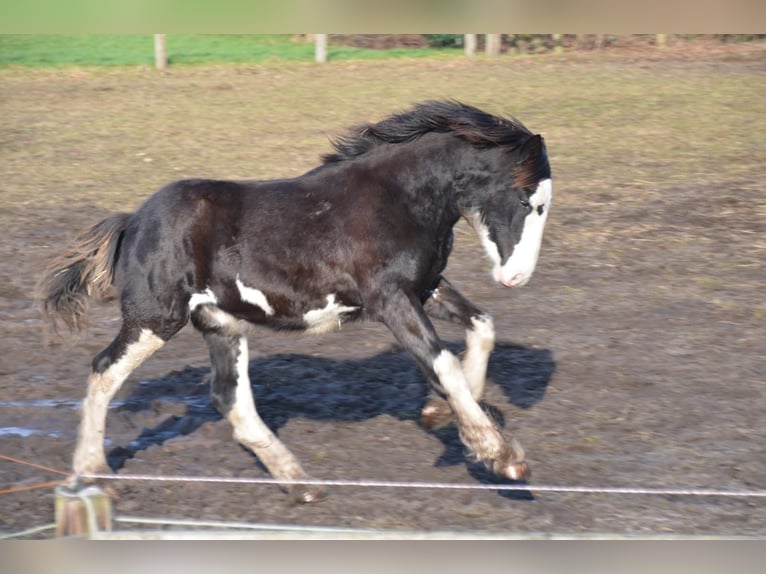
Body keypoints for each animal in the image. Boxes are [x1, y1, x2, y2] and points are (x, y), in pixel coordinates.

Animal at [37, 100, 552, 504]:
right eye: (527, 201)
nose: (516, 276)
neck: (398, 198)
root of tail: (133, 222)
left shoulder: (424, 287)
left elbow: (481, 326)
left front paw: (444, 415)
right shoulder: (390, 299)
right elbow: (444, 362)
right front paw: (501, 454)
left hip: (220, 322)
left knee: (230, 399)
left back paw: (299, 482)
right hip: (154, 319)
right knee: (104, 371)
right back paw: (94, 475)